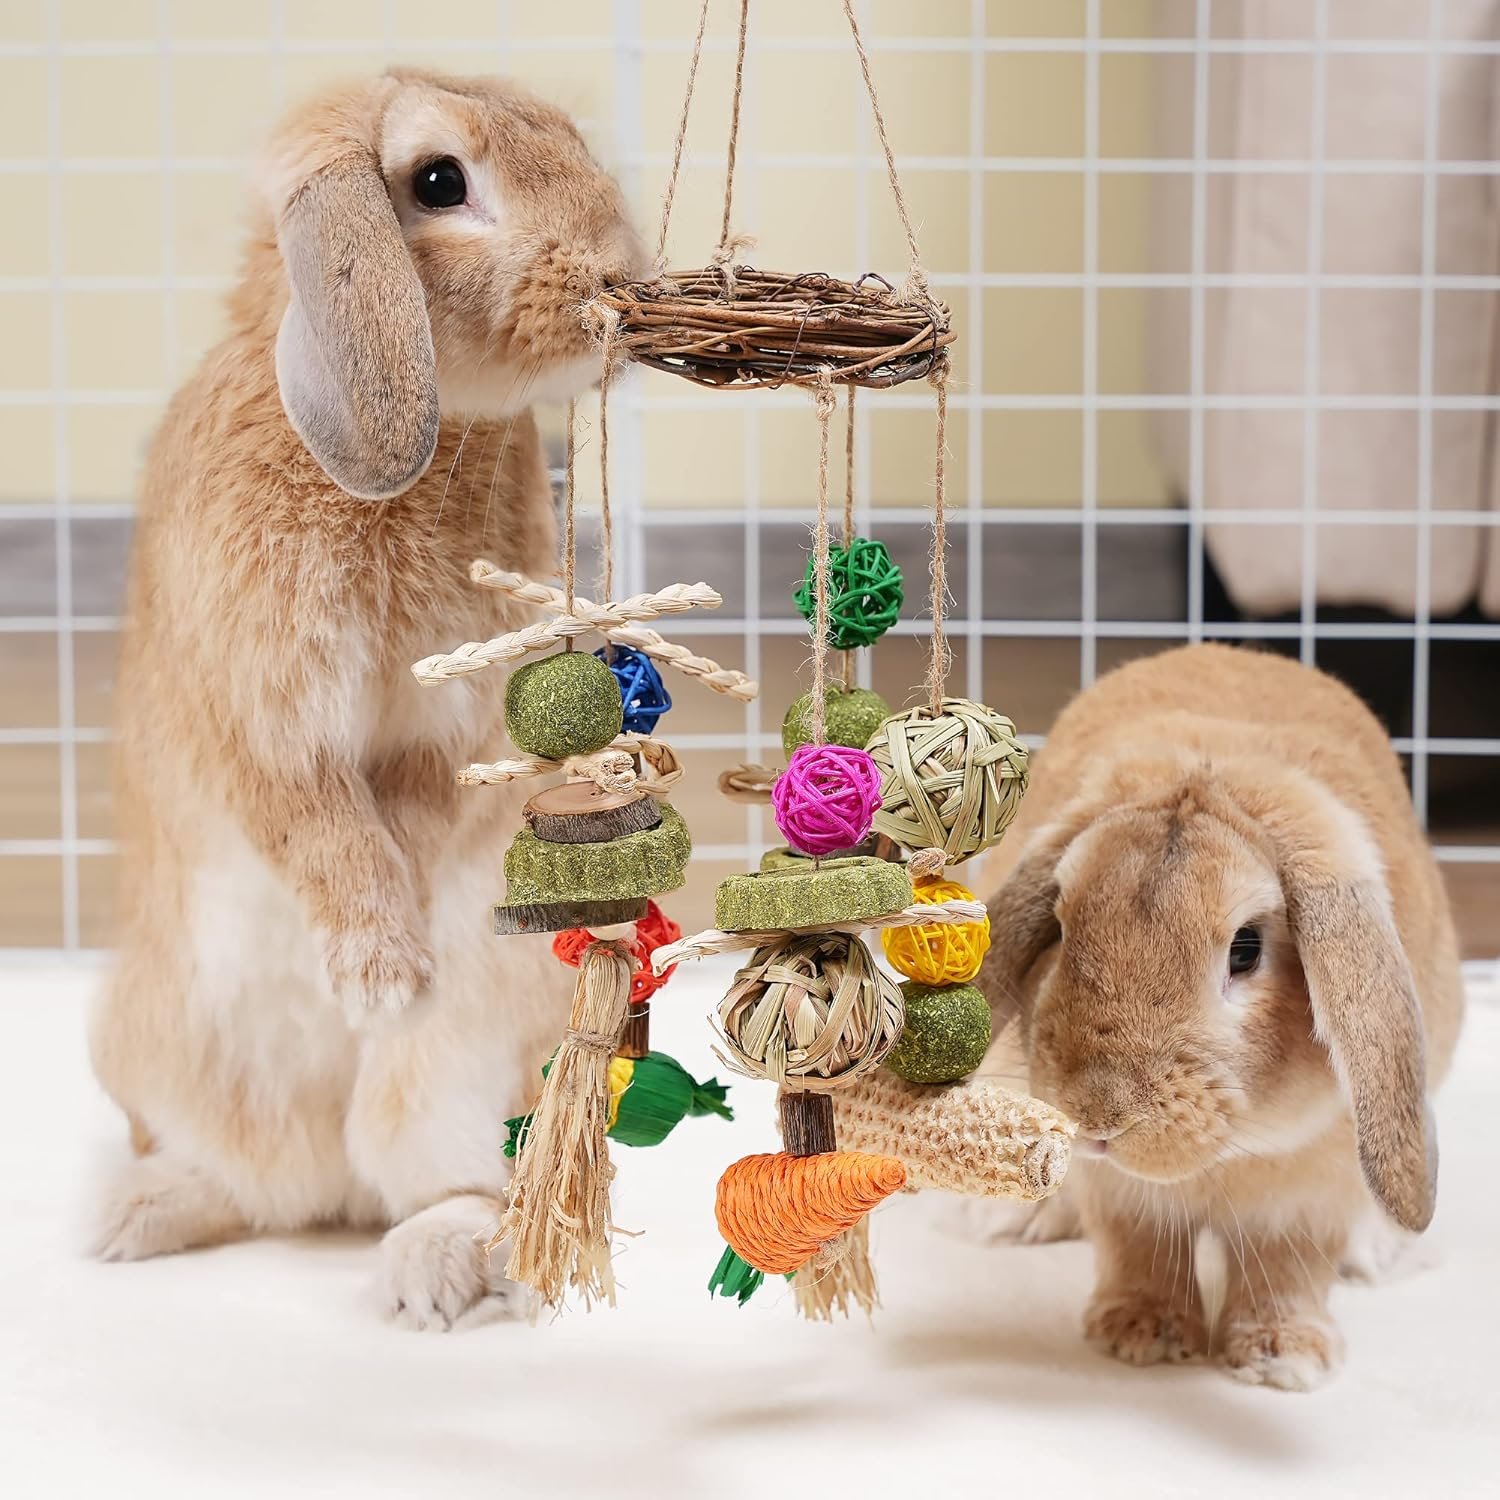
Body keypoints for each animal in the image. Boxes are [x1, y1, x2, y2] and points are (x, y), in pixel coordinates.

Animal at [87, 69, 647, 1330]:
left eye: (576, 143)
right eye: (439, 181)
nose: (619, 274)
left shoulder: (448, 720)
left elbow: (416, 814)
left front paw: (393, 970)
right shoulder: (258, 709)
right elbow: (313, 817)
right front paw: (379, 972)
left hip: (470, 1074)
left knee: (454, 1178)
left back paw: (437, 1268)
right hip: (161, 1052)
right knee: (253, 1185)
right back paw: (133, 1217)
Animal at [979, 643, 1464, 1389]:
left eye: (1246, 949)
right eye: (1059, 924)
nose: (1098, 1117)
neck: (1221, 1158)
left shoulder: (1306, 1196)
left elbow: (1288, 1270)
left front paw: (1281, 1358)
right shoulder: (1123, 1196)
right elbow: (1139, 1247)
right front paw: (1140, 1335)